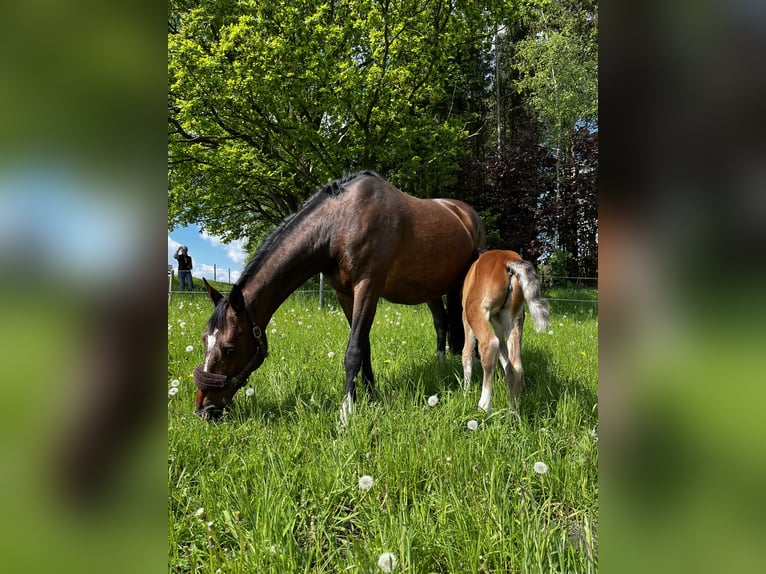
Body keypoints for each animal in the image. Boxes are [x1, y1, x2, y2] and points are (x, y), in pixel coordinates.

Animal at [195, 171, 488, 424]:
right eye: (205, 340)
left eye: (230, 348)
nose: (204, 409)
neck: (340, 224)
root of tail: (466, 213)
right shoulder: (344, 293)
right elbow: (365, 347)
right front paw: (370, 397)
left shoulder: (367, 287)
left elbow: (354, 350)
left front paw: (347, 413)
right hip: (431, 289)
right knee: (441, 323)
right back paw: (440, 367)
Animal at [462, 252, 552, 418]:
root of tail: (507, 259)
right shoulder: (497, 320)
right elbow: (504, 355)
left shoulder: (466, 318)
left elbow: (467, 353)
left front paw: (465, 392)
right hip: (514, 319)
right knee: (515, 366)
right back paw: (513, 413)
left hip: (474, 311)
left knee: (490, 345)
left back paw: (484, 407)